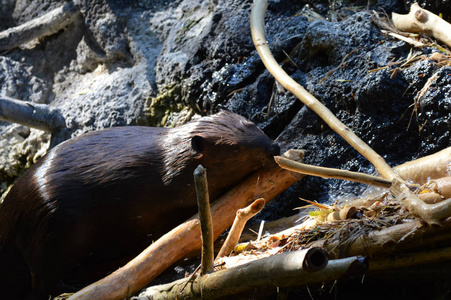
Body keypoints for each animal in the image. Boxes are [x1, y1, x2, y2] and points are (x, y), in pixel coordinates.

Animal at [0, 109, 278, 298]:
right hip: (52, 235)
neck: (171, 160)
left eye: (251, 123)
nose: (273, 147)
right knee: (43, 281)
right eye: (234, 149)